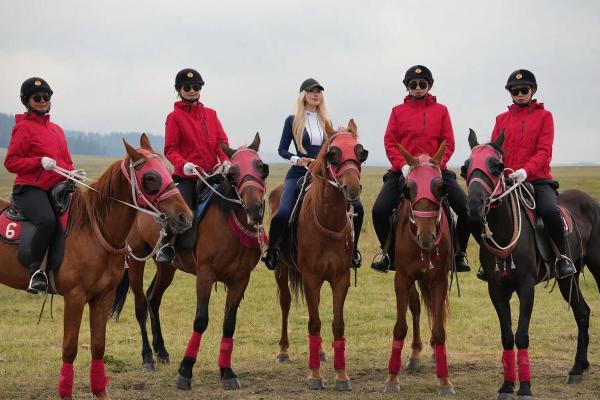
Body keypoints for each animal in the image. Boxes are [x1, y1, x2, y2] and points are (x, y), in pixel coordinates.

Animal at [0, 135, 192, 400]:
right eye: (150, 178)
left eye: (166, 170)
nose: (185, 217)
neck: (95, 230)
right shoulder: (75, 297)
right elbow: (70, 348)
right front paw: (65, 393)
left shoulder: (103, 296)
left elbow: (98, 345)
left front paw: (100, 391)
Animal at [110, 133, 270, 390]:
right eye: (233, 174)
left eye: (262, 168)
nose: (254, 209)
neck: (229, 220)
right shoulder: (205, 275)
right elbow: (201, 320)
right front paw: (185, 370)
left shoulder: (240, 280)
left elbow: (229, 323)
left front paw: (227, 371)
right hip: (136, 261)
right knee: (141, 305)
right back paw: (148, 357)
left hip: (166, 267)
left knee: (153, 298)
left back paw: (161, 351)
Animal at [270, 120, 366, 392]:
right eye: (333, 154)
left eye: (361, 153)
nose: (352, 188)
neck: (328, 220)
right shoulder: (311, 277)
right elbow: (313, 322)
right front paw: (314, 376)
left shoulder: (340, 278)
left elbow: (337, 323)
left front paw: (342, 375)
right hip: (281, 269)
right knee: (285, 303)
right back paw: (283, 351)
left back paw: (322, 352)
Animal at [384, 142, 454, 396]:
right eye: (408, 188)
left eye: (441, 188)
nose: (426, 237)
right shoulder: (402, 279)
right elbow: (400, 327)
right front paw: (392, 378)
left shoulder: (439, 279)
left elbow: (440, 329)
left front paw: (444, 381)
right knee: (415, 307)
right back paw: (414, 355)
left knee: (434, 311)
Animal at [466, 130, 600, 398]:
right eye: (466, 166)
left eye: (497, 167)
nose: (474, 205)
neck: (505, 230)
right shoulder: (496, 290)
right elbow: (507, 336)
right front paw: (507, 385)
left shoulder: (526, 288)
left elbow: (522, 335)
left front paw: (525, 387)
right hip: (567, 277)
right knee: (582, 312)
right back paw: (577, 368)